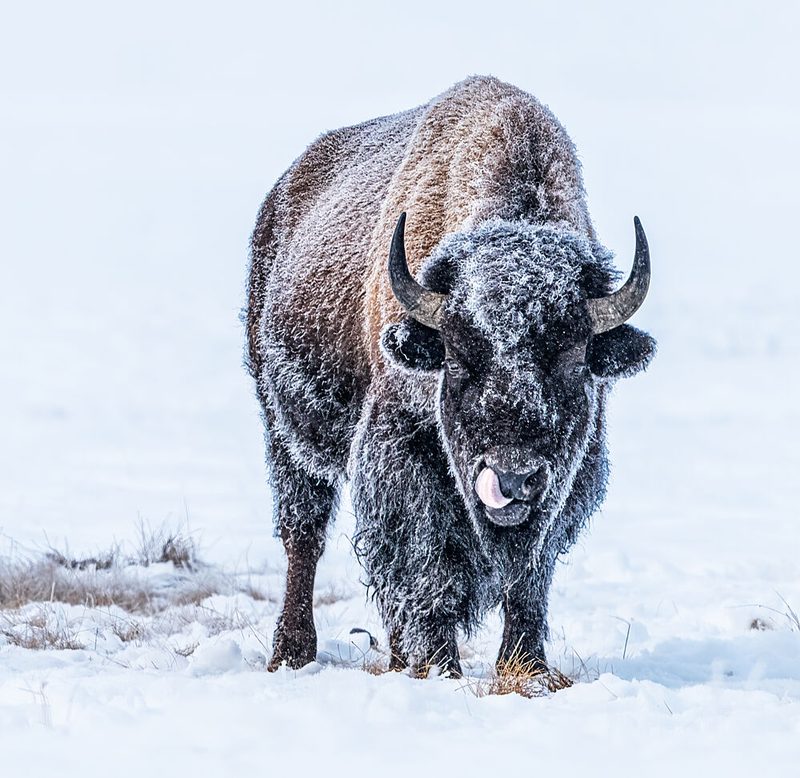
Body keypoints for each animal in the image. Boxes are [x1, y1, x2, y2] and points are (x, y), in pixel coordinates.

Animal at [246, 75, 655, 676]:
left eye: (575, 360)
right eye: (458, 358)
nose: (512, 478)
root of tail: (281, 198)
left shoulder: (568, 479)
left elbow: (529, 577)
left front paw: (527, 669)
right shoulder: (402, 450)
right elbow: (428, 563)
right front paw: (440, 665)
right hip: (285, 430)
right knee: (305, 532)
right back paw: (293, 651)